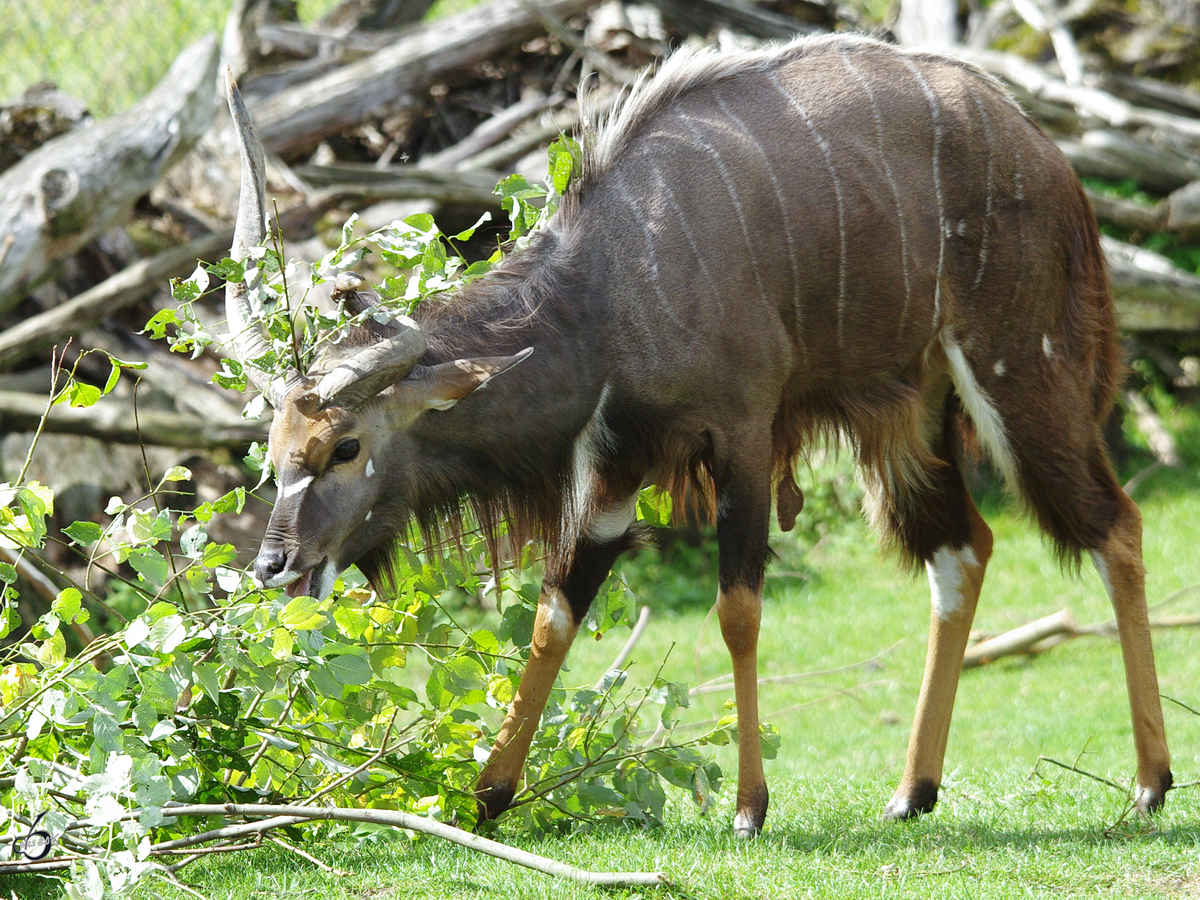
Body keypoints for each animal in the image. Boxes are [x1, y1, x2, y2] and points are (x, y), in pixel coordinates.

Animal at [223, 35, 1171, 840]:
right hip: (913, 416)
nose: (274, 566)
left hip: (1020, 375)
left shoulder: (744, 433)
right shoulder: (612, 468)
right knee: (962, 550)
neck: (607, 293)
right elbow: (555, 612)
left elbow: (738, 608)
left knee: (1116, 525)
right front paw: (489, 794)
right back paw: (912, 792)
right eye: (274, 451)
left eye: (344, 446)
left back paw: (1149, 784)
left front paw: (750, 806)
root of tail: (1051, 161)